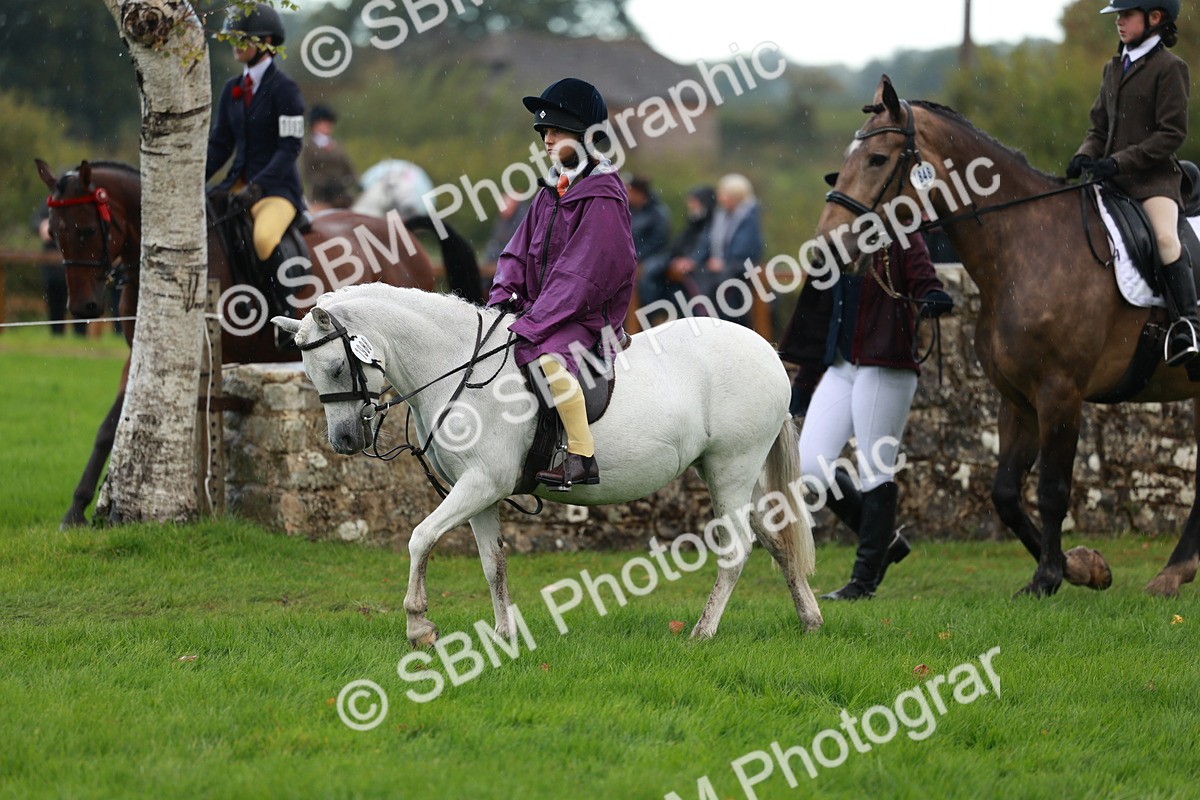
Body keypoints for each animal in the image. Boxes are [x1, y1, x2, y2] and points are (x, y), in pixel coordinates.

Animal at [34, 158, 482, 528]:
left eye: (86, 230)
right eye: (54, 233)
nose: (83, 306)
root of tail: (400, 229)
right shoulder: (142, 359)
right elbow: (111, 427)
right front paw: (78, 509)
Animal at [271, 284, 823, 643]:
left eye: (337, 367)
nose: (344, 441)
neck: (458, 367)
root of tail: (768, 353)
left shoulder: (480, 483)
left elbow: (420, 537)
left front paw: (418, 625)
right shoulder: (478, 492)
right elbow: (492, 563)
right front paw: (502, 635)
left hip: (732, 468)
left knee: (738, 549)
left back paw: (704, 632)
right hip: (729, 475)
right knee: (775, 540)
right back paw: (809, 619)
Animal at [817, 75, 1199, 598]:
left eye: (876, 159)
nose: (825, 247)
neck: (1024, 247)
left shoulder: (1060, 393)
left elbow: (1053, 491)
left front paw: (1049, 577)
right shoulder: (1017, 399)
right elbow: (1004, 494)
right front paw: (1081, 567)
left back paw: (1172, 573)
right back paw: (1175, 571)